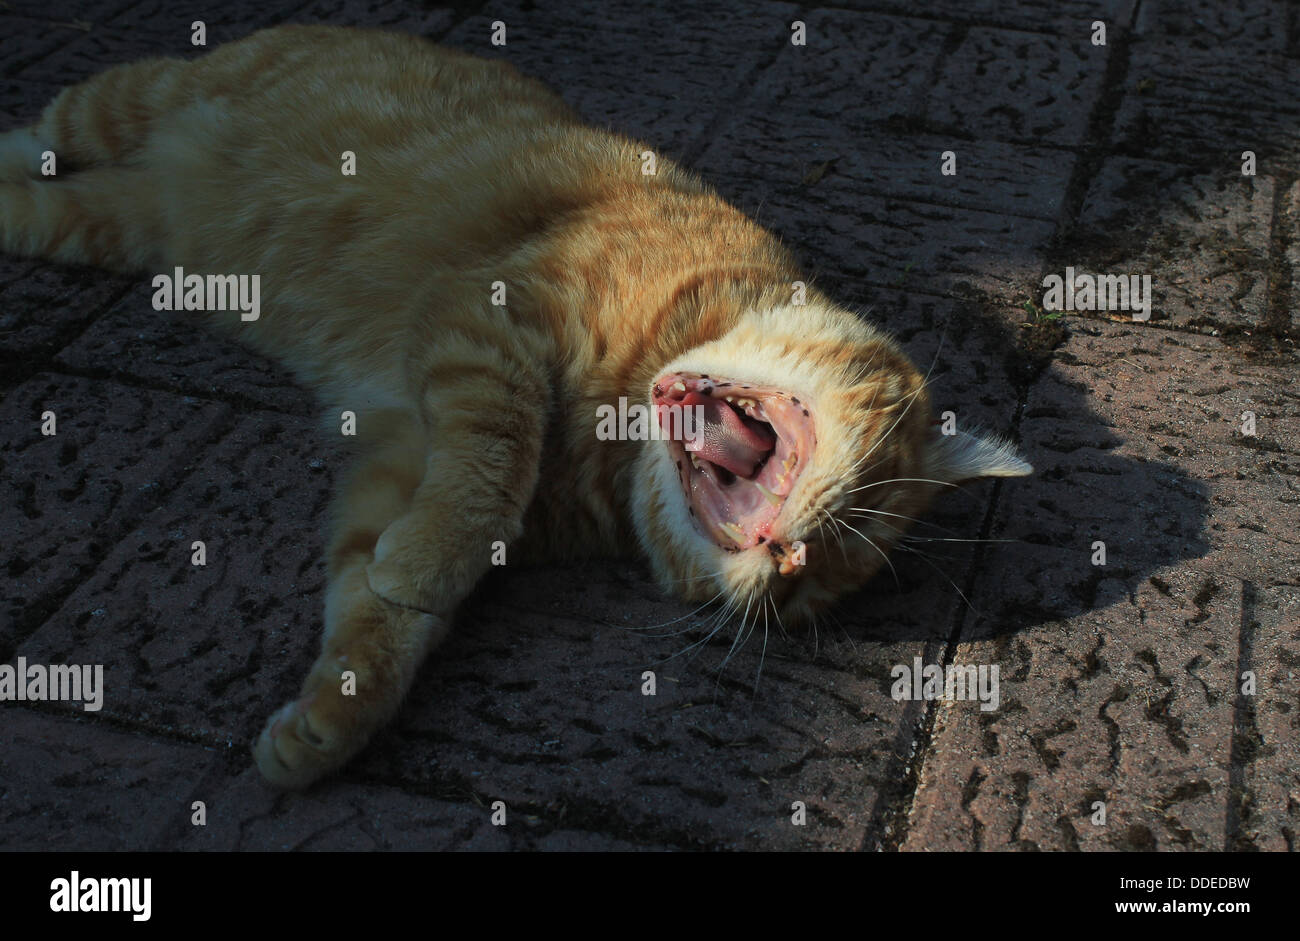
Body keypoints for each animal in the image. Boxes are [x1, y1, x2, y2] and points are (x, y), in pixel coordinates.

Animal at [2, 23, 1034, 785]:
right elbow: (492, 466)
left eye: (801, 595)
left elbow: (379, 605)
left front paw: (333, 717)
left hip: (104, 224)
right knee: (52, 123)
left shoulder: (401, 461)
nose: (785, 556)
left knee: (40, 200)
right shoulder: (482, 327)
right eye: (851, 517)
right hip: (132, 104)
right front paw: (420, 566)